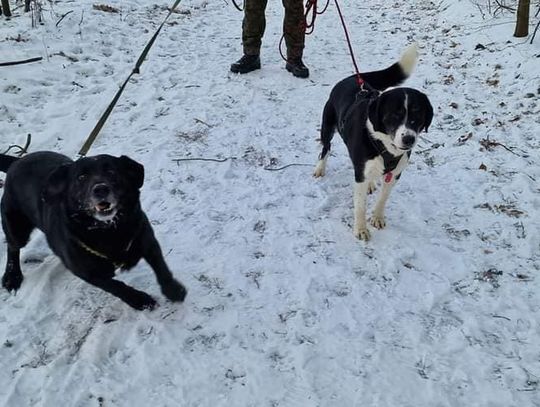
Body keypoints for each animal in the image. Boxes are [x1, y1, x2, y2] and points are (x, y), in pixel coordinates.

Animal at [0, 152, 187, 310]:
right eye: (81, 177)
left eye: (111, 171)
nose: (100, 189)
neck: (108, 231)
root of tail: (16, 162)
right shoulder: (88, 273)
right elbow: (116, 287)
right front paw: (140, 300)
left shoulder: (147, 239)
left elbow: (161, 267)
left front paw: (173, 290)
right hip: (17, 228)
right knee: (12, 246)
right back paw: (12, 276)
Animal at [312, 44, 434, 242]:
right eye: (394, 115)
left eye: (418, 115)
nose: (409, 139)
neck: (384, 145)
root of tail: (352, 79)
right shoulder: (361, 173)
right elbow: (360, 205)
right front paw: (361, 229)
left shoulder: (395, 174)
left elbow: (383, 199)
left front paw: (377, 217)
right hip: (327, 127)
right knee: (326, 148)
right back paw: (320, 168)